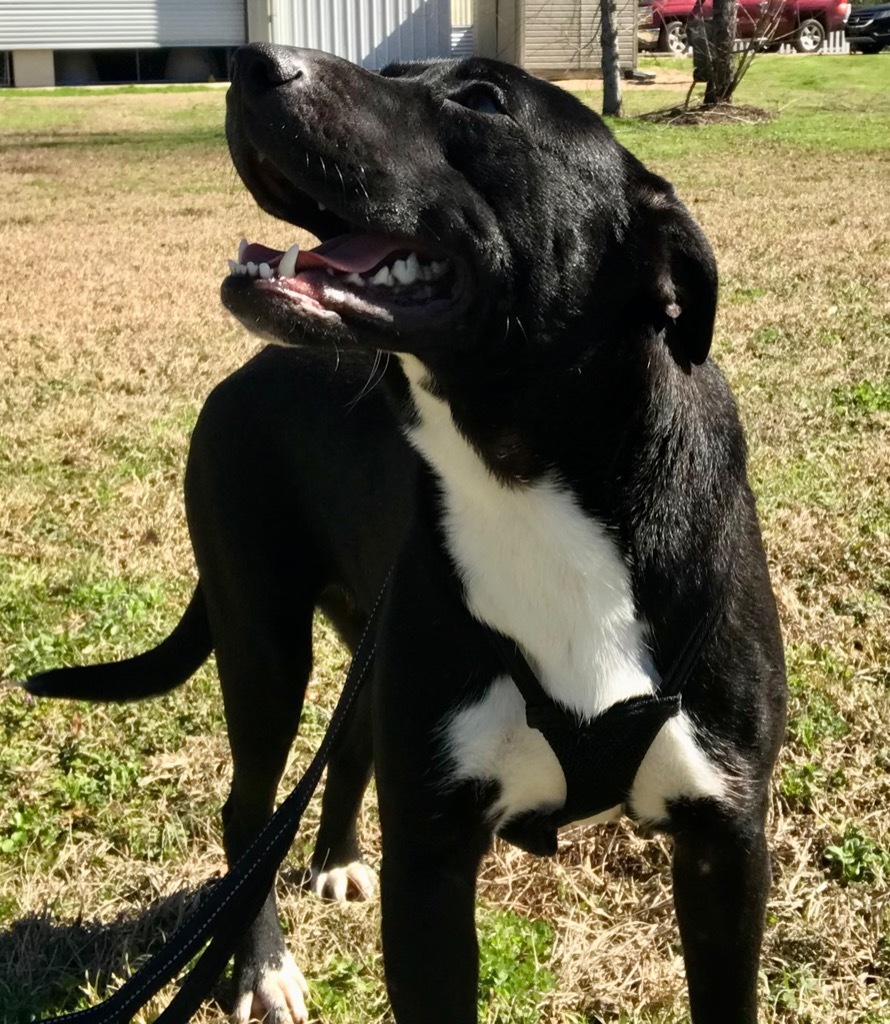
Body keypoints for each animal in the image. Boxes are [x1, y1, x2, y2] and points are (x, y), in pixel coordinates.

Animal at [29, 44, 786, 1024]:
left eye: (483, 99)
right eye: (395, 68)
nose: (252, 62)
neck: (527, 485)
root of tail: (245, 374)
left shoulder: (724, 845)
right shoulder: (431, 863)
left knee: (345, 748)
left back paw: (336, 859)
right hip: (261, 639)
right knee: (248, 814)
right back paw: (261, 967)